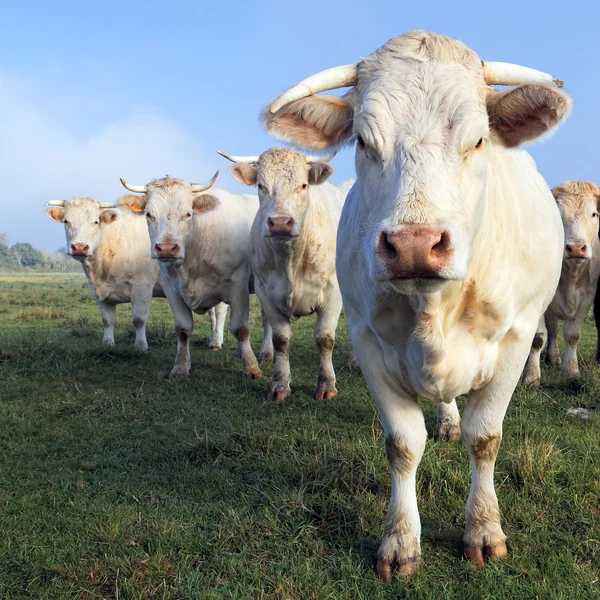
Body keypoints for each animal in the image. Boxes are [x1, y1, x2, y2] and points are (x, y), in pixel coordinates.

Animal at [45, 198, 229, 352]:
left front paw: (140, 346)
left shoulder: (142, 287)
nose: (79, 247)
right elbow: (107, 319)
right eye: (66, 221)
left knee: (220, 310)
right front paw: (107, 343)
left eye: (95, 221)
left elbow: (139, 319)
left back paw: (216, 342)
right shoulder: (98, 291)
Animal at [118, 173, 272, 380]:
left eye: (188, 214)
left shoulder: (238, 284)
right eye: (149, 214)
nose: (166, 248)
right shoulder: (171, 288)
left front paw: (251, 368)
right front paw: (180, 368)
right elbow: (183, 329)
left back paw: (266, 353)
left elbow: (240, 328)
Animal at [219, 148, 354, 404]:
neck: (290, 258)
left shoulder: (334, 293)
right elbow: (281, 339)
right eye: (261, 186)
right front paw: (280, 385)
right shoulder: (266, 292)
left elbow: (324, 338)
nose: (280, 223)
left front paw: (326, 384)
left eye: (303, 185)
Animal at [264, 31, 572, 576]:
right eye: (364, 142)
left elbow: (485, 437)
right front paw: (401, 541)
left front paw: (484, 529)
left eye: (478, 140)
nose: (414, 244)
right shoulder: (366, 339)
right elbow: (403, 444)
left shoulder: (516, 339)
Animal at [520, 180, 600, 382]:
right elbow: (538, 337)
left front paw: (571, 370)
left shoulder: (588, 296)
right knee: (552, 329)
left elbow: (573, 335)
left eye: (594, 214)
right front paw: (532, 376)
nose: (576, 248)